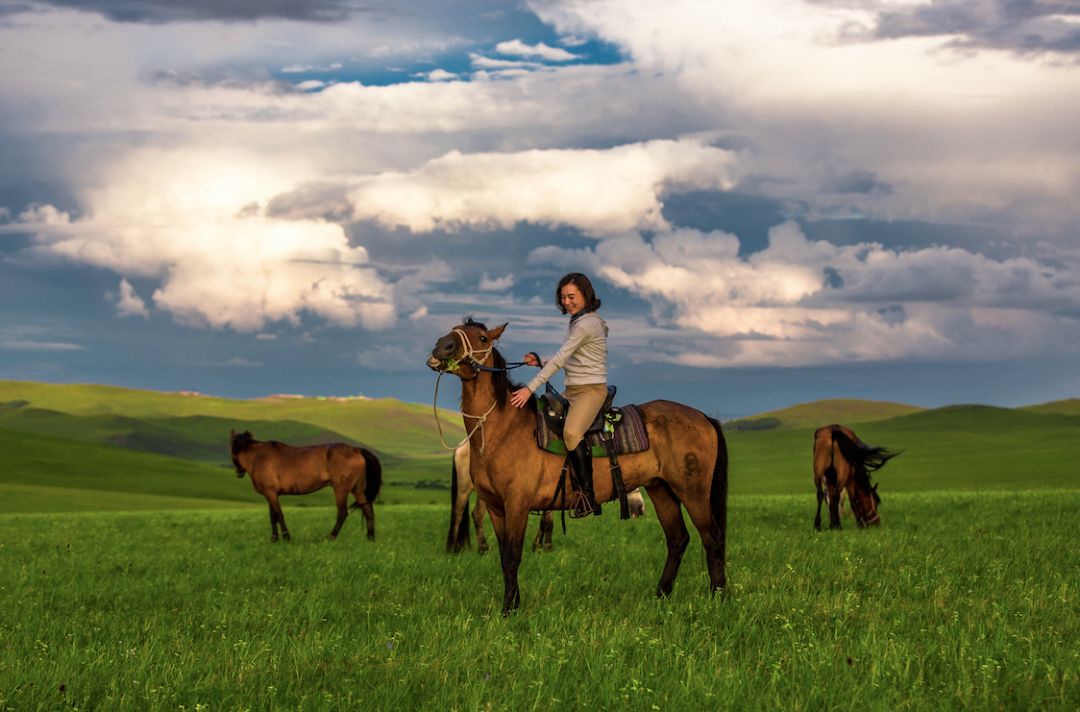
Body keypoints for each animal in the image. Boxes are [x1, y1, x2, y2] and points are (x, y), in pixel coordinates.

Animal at [230, 432, 382, 542]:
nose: (239, 472)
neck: (259, 457)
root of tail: (357, 450)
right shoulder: (270, 494)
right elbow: (272, 516)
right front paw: (274, 539)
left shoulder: (271, 494)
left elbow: (279, 514)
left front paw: (286, 537)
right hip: (357, 489)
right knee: (368, 510)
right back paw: (370, 538)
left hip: (341, 490)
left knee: (342, 513)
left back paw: (331, 537)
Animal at [427, 319, 725, 613]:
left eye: (483, 338)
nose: (442, 346)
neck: (502, 430)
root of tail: (703, 417)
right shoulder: (496, 507)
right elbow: (504, 556)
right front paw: (513, 602)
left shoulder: (517, 505)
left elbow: (513, 555)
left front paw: (509, 609)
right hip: (660, 488)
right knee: (678, 539)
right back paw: (661, 594)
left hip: (692, 491)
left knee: (711, 536)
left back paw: (717, 596)